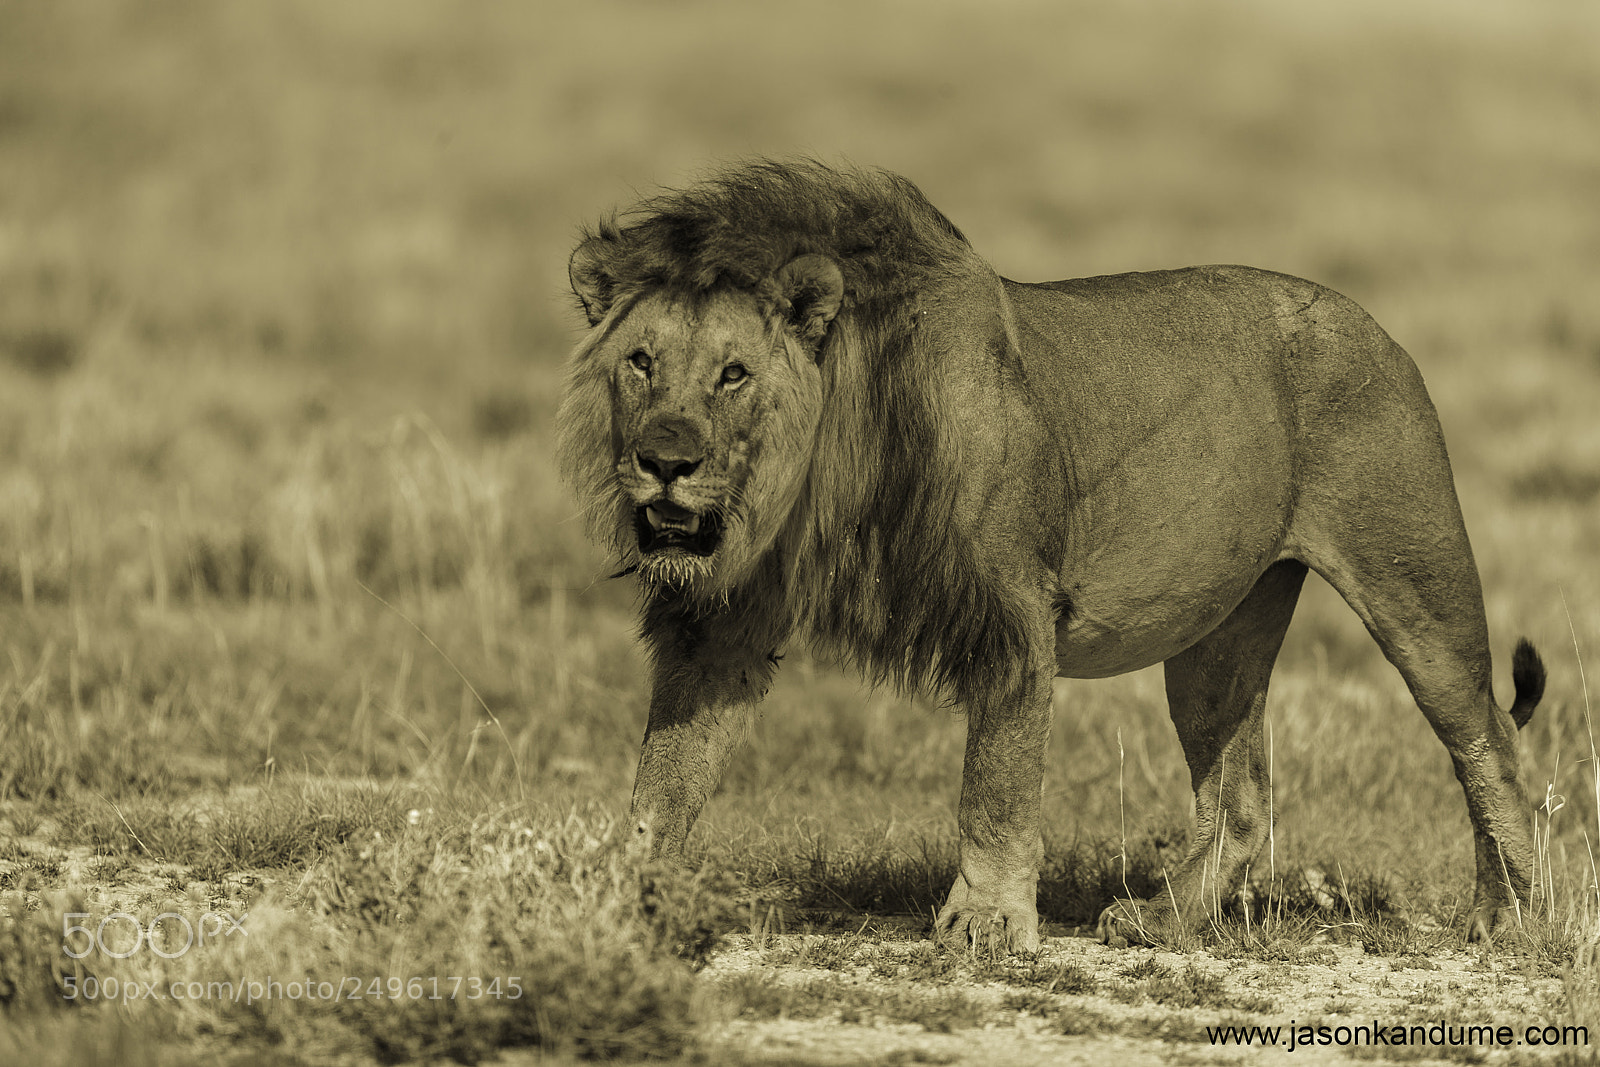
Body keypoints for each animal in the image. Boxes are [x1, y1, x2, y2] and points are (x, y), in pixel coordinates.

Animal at [557, 160, 1545, 953]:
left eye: (734, 373)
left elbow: (995, 785)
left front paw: (987, 922)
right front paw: (620, 899)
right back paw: (1166, 919)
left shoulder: (1012, 611)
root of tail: (1371, 321)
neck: (827, 468)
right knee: (1241, 798)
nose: (665, 461)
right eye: (641, 361)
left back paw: (1506, 917)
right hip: (1217, 636)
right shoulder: (719, 623)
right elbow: (665, 779)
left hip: (1415, 582)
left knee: (1490, 746)